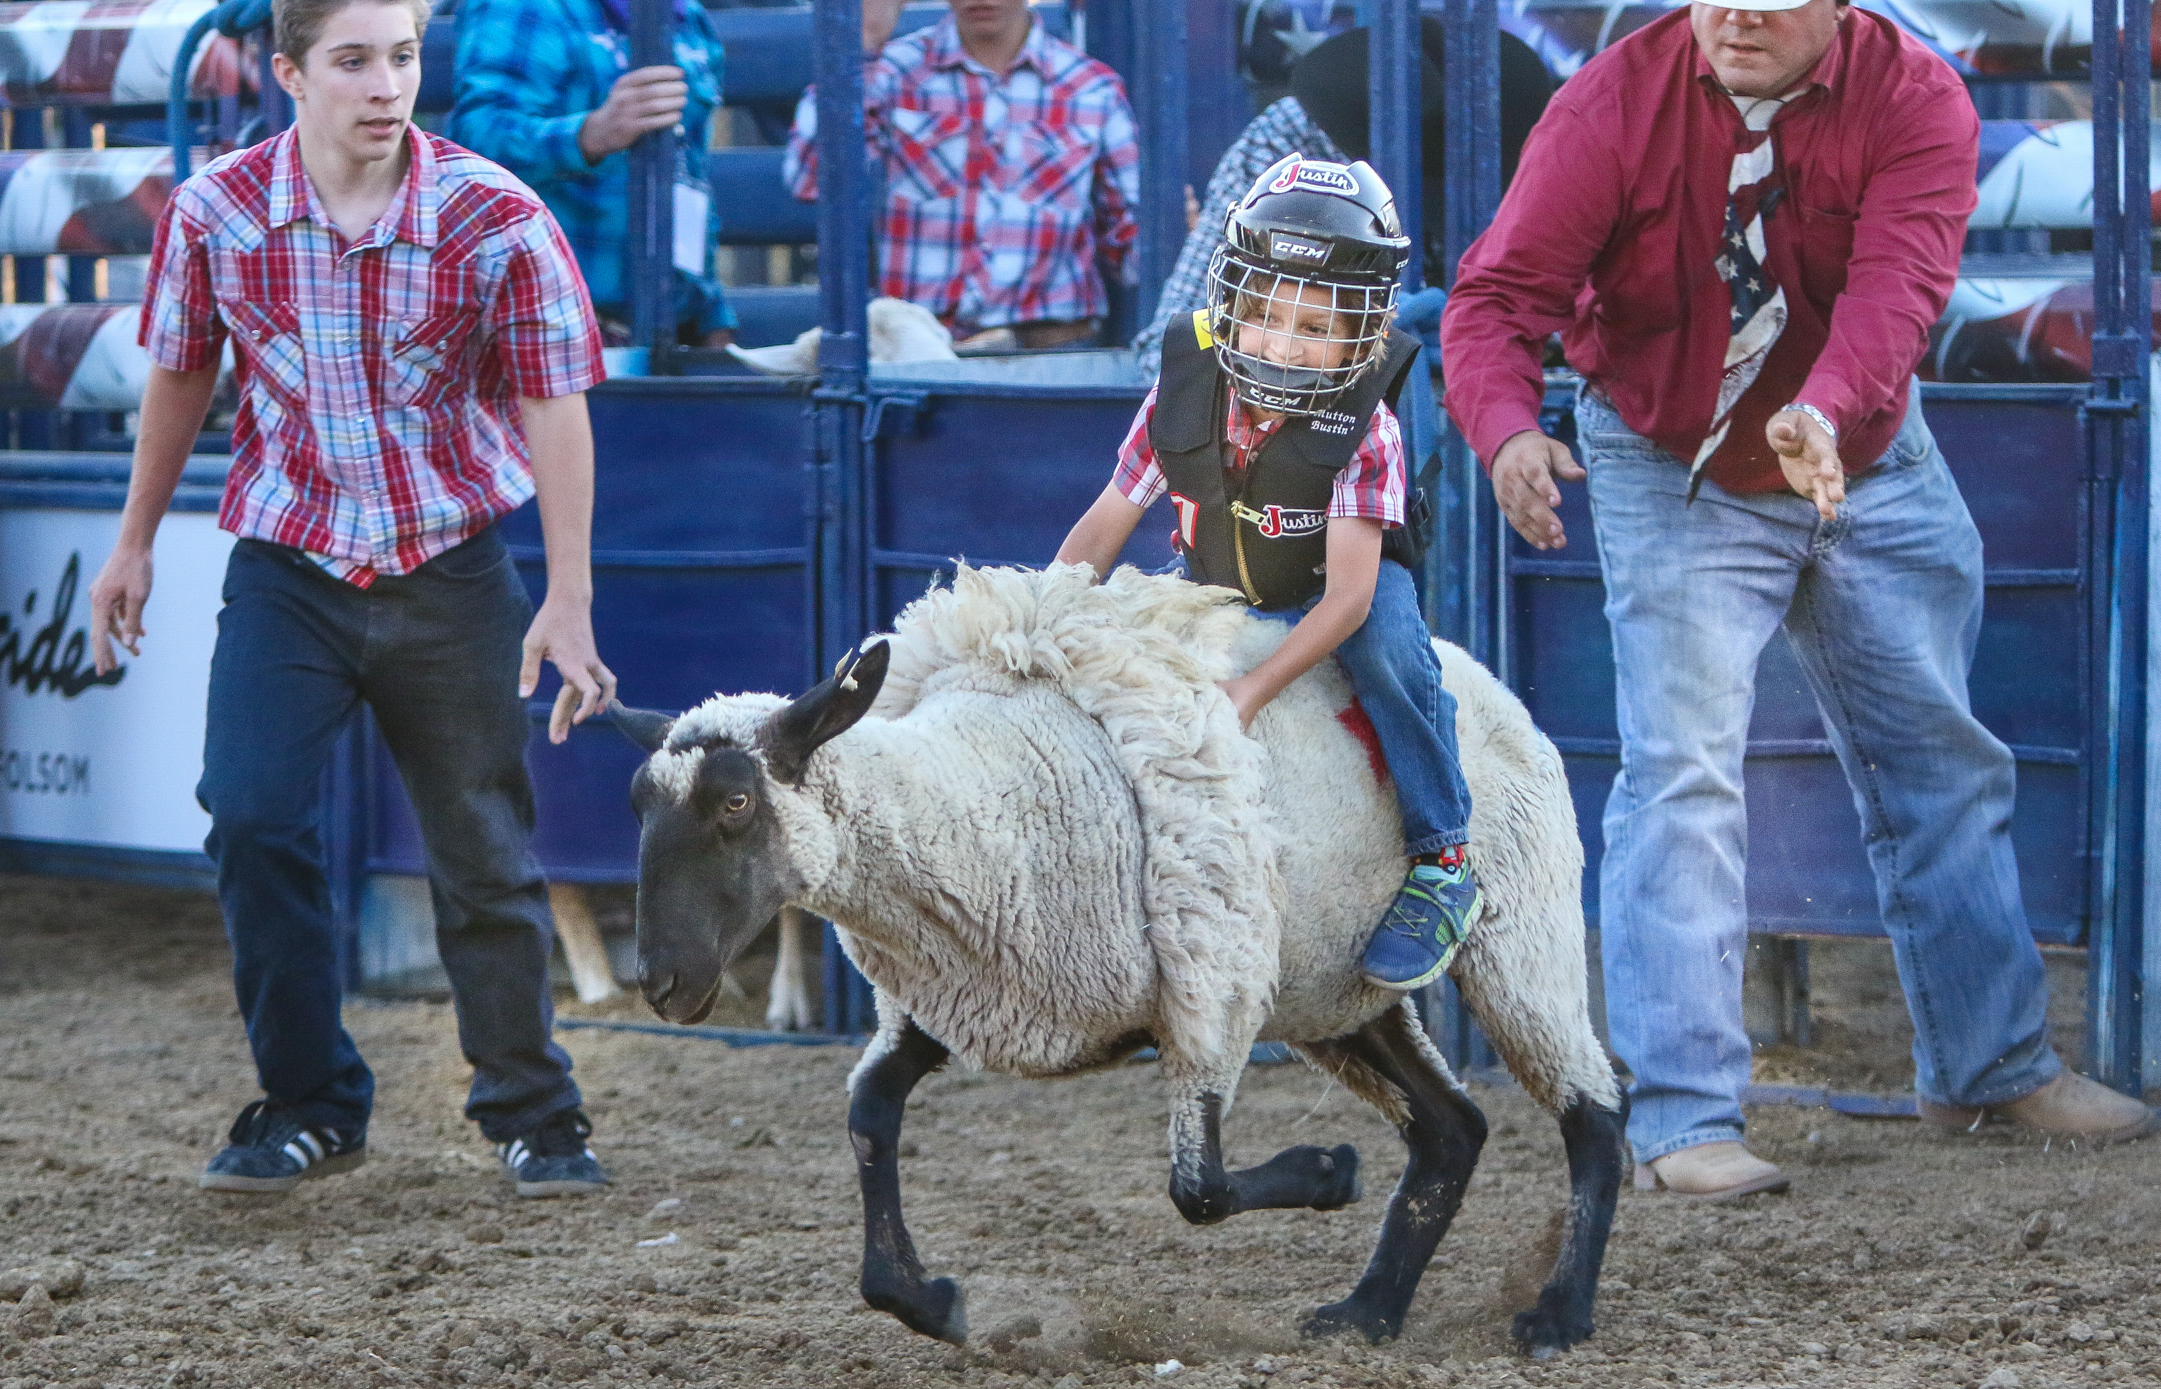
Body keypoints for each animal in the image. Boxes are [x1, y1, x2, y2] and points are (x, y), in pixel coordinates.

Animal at [609, 565, 1625, 1356]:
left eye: (735, 802)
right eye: (636, 803)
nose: (659, 981)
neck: (981, 796)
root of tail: (1483, 680)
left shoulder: (1206, 993)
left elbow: (1199, 1187)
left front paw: (1328, 1170)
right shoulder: (960, 995)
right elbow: (868, 1117)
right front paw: (934, 1302)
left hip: (1518, 931)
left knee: (1593, 1108)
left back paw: (1555, 1316)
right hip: (1334, 989)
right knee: (1452, 1128)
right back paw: (1366, 1312)